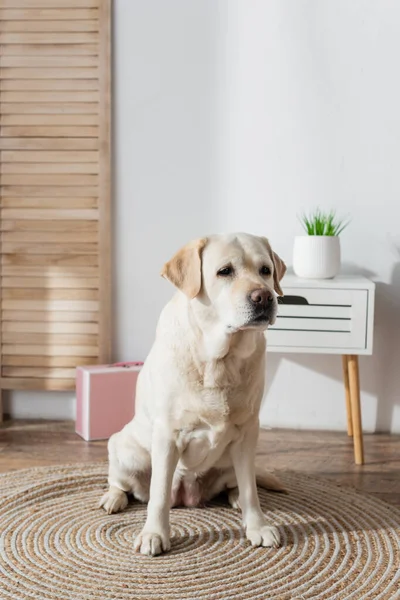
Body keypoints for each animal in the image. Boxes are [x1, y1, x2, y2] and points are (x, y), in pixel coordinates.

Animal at [101, 232, 288, 556]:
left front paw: (258, 526)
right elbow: (158, 494)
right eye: (225, 271)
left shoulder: (247, 432)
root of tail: (187, 497)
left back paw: (235, 497)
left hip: (230, 459)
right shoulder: (167, 434)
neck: (220, 360)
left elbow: (251, 490)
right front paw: (154, 534)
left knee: (238, 483)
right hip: (125, 449)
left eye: (265, 270)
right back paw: (113, 498)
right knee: (123, 483)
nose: (265, 297)